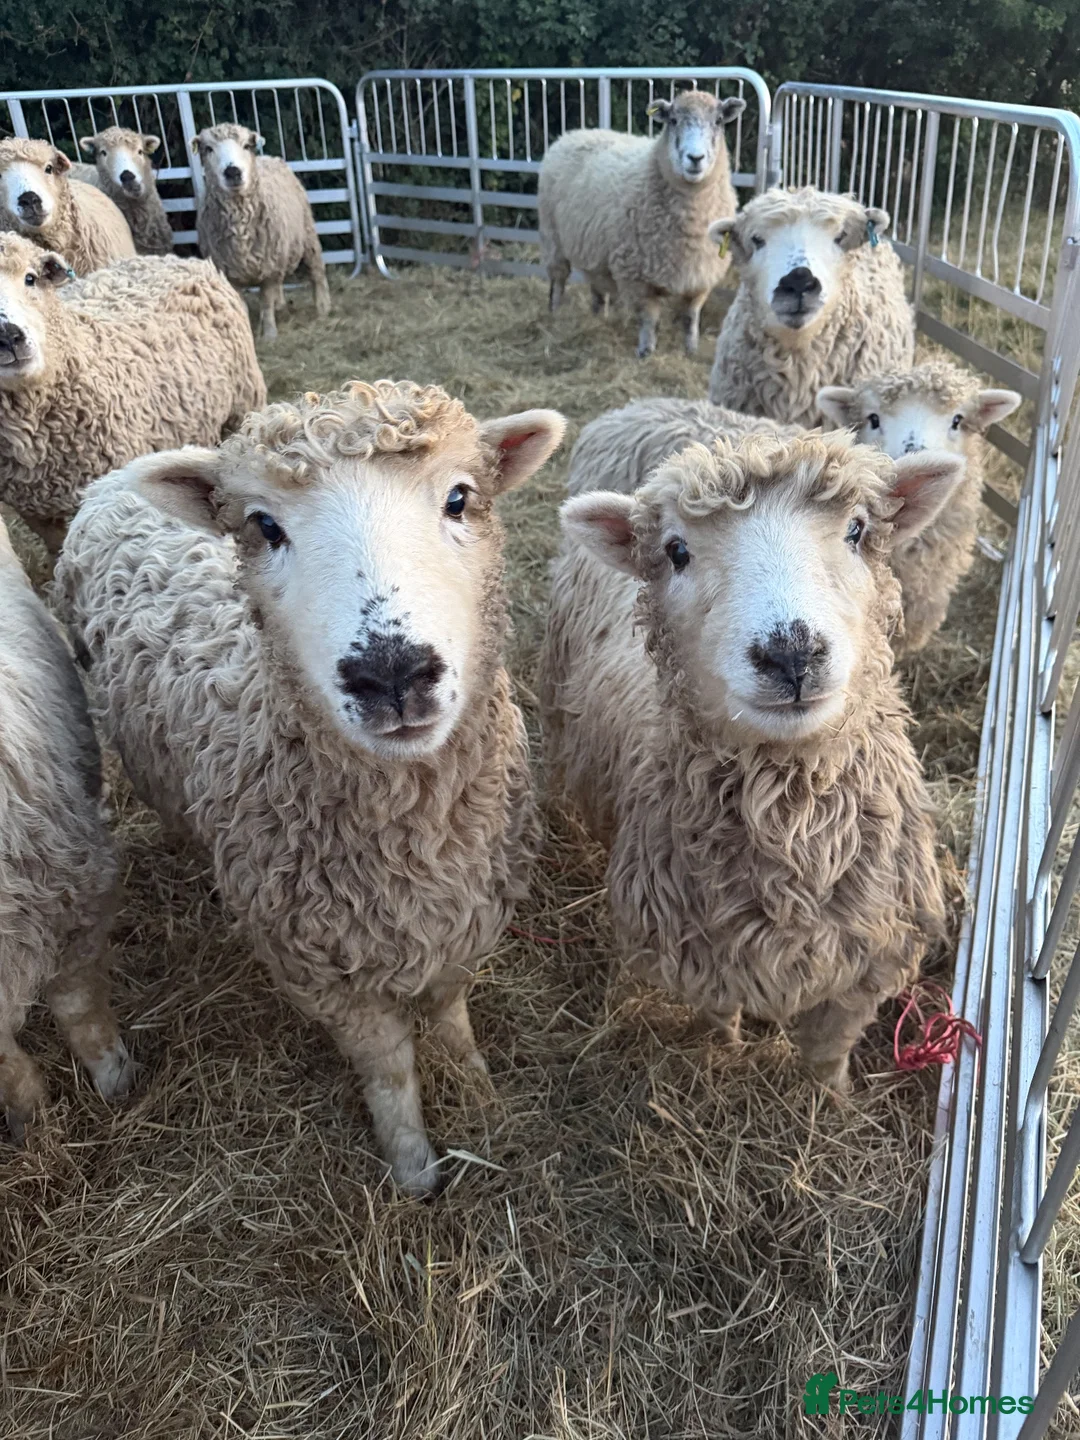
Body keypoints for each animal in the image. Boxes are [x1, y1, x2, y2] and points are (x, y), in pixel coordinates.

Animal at [55, 380, 566, 1195]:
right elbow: (388, 1068)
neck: (412, 838)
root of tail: (115, 476)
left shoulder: (468, 913)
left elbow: (451, 1012)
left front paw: (480, 1090)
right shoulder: (325, 968)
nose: (390, 673)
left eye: (460, 498)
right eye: (265, 526)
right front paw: (415, 1169)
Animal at [191, 123, 331, 341]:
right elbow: (242, 305)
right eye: (208, 149)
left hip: (307, 234)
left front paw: (270, 334)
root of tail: (269, 157)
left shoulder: (269, 269)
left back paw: (323, 308)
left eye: (246, 145)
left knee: (316, 271)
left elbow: (265, 302)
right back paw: (281, 305)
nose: (232, 171)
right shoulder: (231, 274)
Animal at [538, 89, 746, 357]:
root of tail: (575, 133)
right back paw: (554, 315)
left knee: (597, 288)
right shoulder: (638, 278)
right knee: (558, 281)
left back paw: (598, 319)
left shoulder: (700, 276)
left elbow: (691, 318)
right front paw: (646, 352)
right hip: (552, 237)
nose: (695, 158)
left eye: (719, 121)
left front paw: (691, 350)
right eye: (673, 120)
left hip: (594, 249)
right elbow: (650, 319)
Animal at [539, 427, 959, 1090]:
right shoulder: (705, 958)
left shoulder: (869, 959)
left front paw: (830, 1098)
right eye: (676, 550)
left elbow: (829, 1050)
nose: (791, 654)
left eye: (857, 529)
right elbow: (720, 1020)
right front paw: (728, 1058)